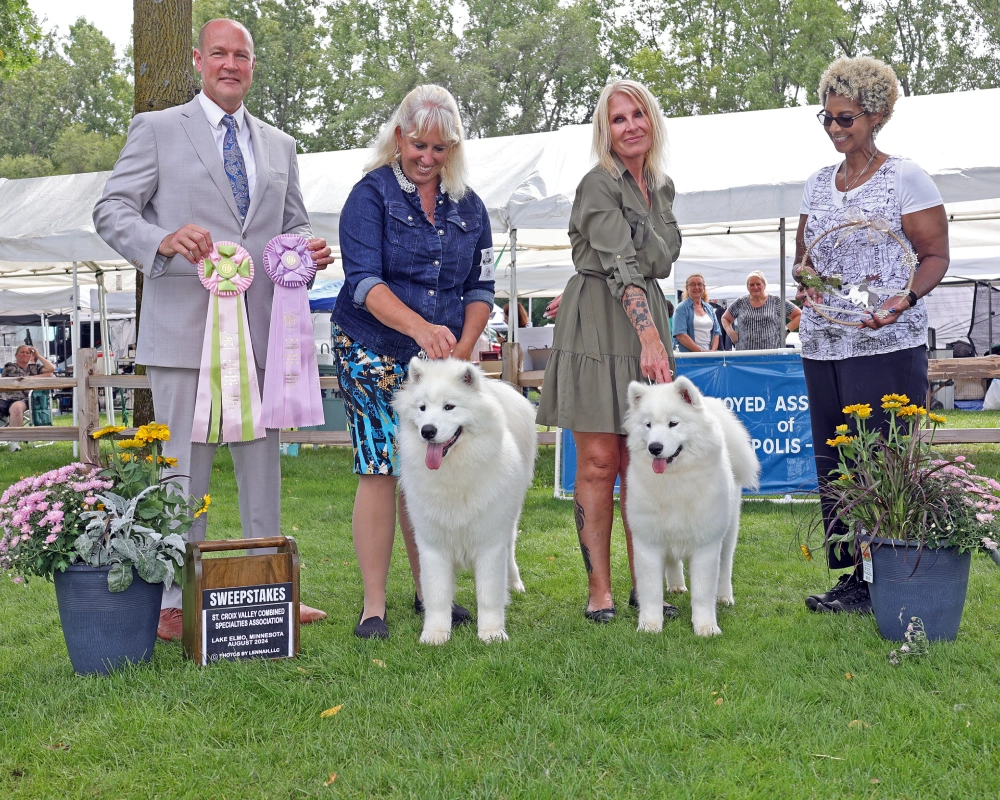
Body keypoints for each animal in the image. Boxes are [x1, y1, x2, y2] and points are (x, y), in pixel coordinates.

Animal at [392, 360, 540, 648]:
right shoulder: (432, 546)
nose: (428, 431)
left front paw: (492, 633)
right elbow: (437, 595)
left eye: (449, 407)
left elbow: (489, 595)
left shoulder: (489, 544)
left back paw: (514, 583)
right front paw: (435, 634)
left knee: (510, 551)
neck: (454, 474)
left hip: (509, 521)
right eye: (422, 408)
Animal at [624, 376, 756, 636]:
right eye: (648, 425)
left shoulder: (706, 545)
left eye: (673, 424)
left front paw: (706, 627)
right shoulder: (648, 542)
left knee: (725, 567)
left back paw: (724, 597)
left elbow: (703, 593)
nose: (654, 447)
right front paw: (649, 626)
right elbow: (651, 592)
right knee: (673, 563)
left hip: (728, 533)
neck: (675, 481)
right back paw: (676, 585)